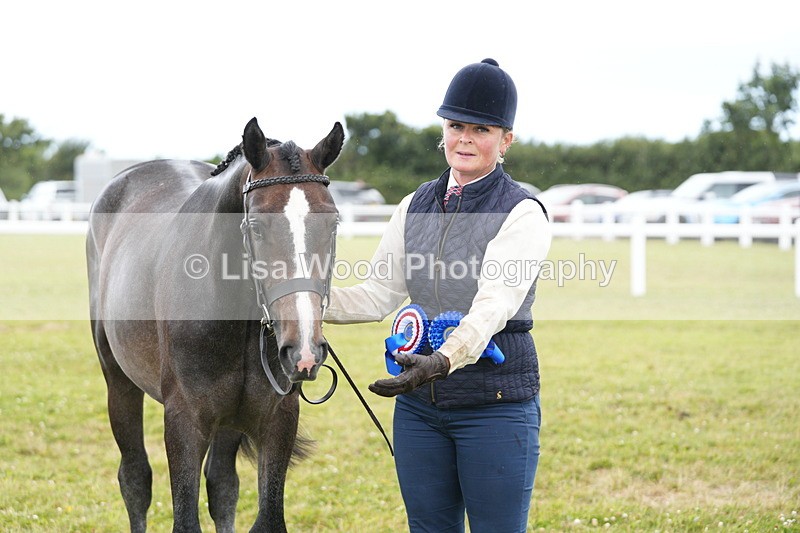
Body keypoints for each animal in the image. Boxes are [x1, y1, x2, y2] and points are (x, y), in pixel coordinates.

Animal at [86, 117, 344, 532]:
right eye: (256, 226)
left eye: (332, 224)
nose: (303, 350)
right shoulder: (184, 422)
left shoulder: (278, 419)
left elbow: (260, 513)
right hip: (119, 381)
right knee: (135, 479)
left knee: (223, 485)